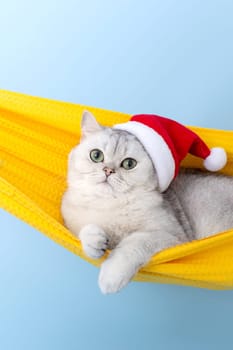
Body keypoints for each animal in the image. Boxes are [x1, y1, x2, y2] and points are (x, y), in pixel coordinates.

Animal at [61, 110, 233, 294]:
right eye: (96, 155)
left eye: (129, 164)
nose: (108, 170)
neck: (109, 205)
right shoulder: (73, 223)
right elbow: (85, 230)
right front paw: (95, 242)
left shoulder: (173, 237)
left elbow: (133, 242)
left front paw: (112, 276)